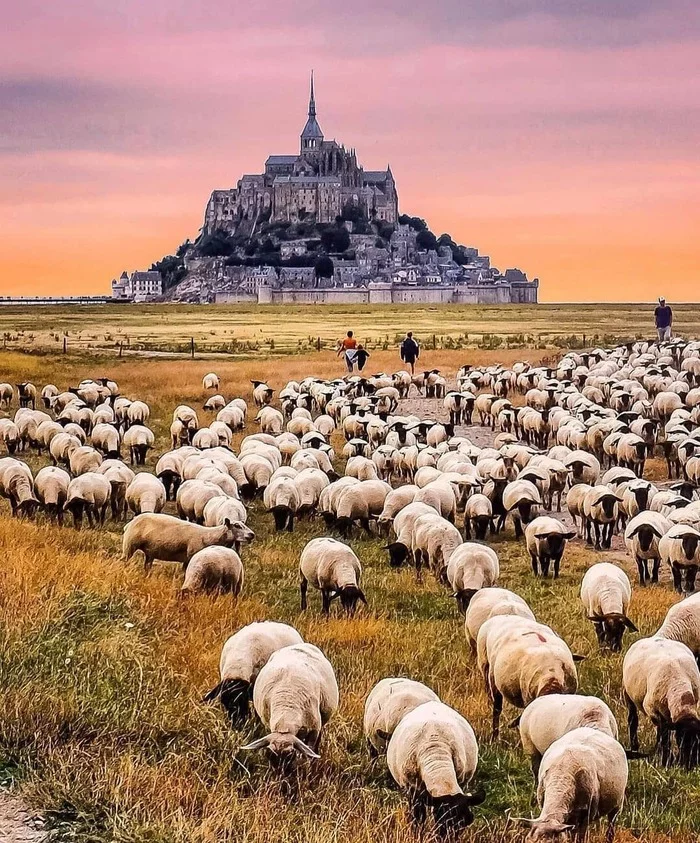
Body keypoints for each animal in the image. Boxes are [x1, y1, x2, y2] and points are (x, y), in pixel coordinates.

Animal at [123, 516, 254, 572]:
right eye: (237, 525)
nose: (252, 534)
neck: (209, 536)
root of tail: (129, 524)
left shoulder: (187, 559)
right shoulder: (191, 555)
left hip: (150, 552)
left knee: (147, 566)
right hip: (129, 545)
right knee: (124, 561)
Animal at [386, 704, 484, 836]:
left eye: (466, 822)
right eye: (443, 821)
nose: (451, 838)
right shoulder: (413, 790)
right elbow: (418, 817)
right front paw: (417, 834)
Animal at [624, 640, 700, 772]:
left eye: (698, 742)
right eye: (681, 740)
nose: (691, 766)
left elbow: (664, 735)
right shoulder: (654, 711)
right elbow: (664, 737)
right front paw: (666, 761)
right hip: (628, 694)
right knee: (633, 720)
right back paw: (635, 747)